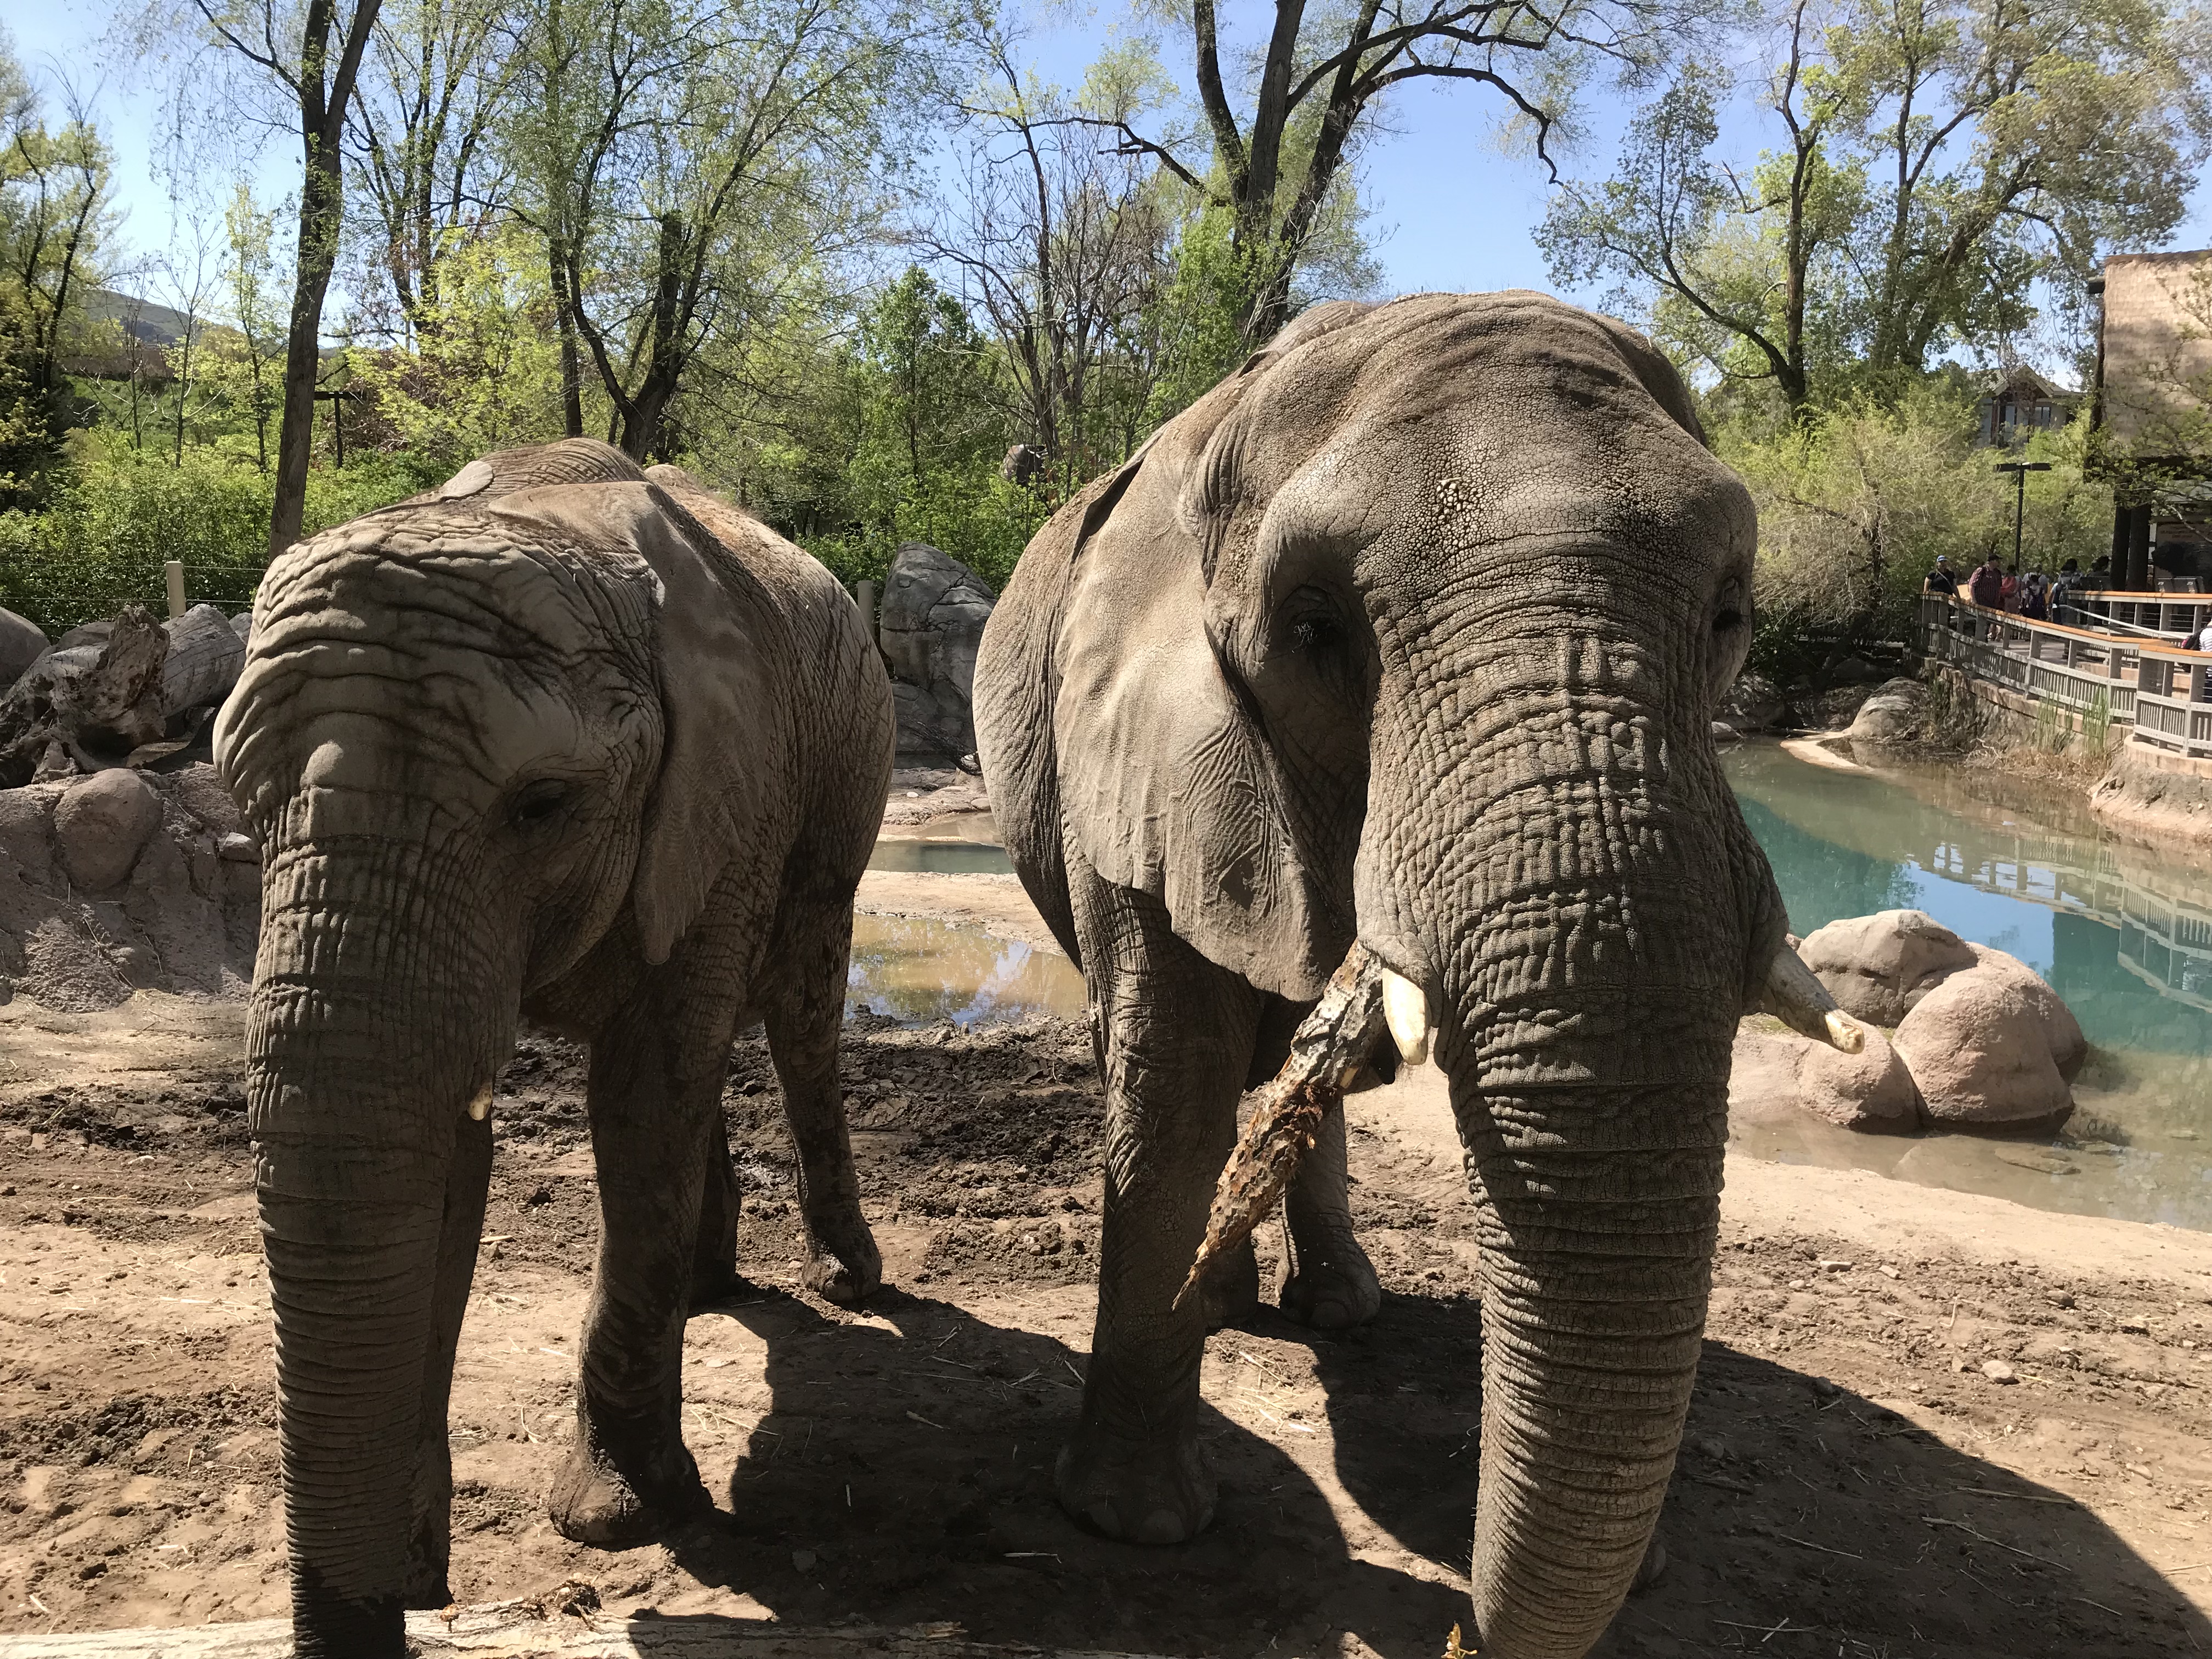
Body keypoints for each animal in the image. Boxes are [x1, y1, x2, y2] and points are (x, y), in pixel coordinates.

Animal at [213, 437, 893, 1658]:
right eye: (242, 805)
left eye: (541, 804)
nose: (402, 1607)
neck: (553, 527)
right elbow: (447, 1142)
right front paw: (415, 1555)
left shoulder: (727, 789)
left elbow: (641, 1104)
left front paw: (618, 1521)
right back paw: (710, 1288)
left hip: (842, 774)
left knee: (802, 1011)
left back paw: (848, 1280)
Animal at [972, 292, 1832, 1658]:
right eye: (1315, 633)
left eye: (1729, 618)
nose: (1463, 1629)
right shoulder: (1135, 754)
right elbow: (1170, 1090)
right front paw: (1138, 1527)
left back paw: (1338, 1310)